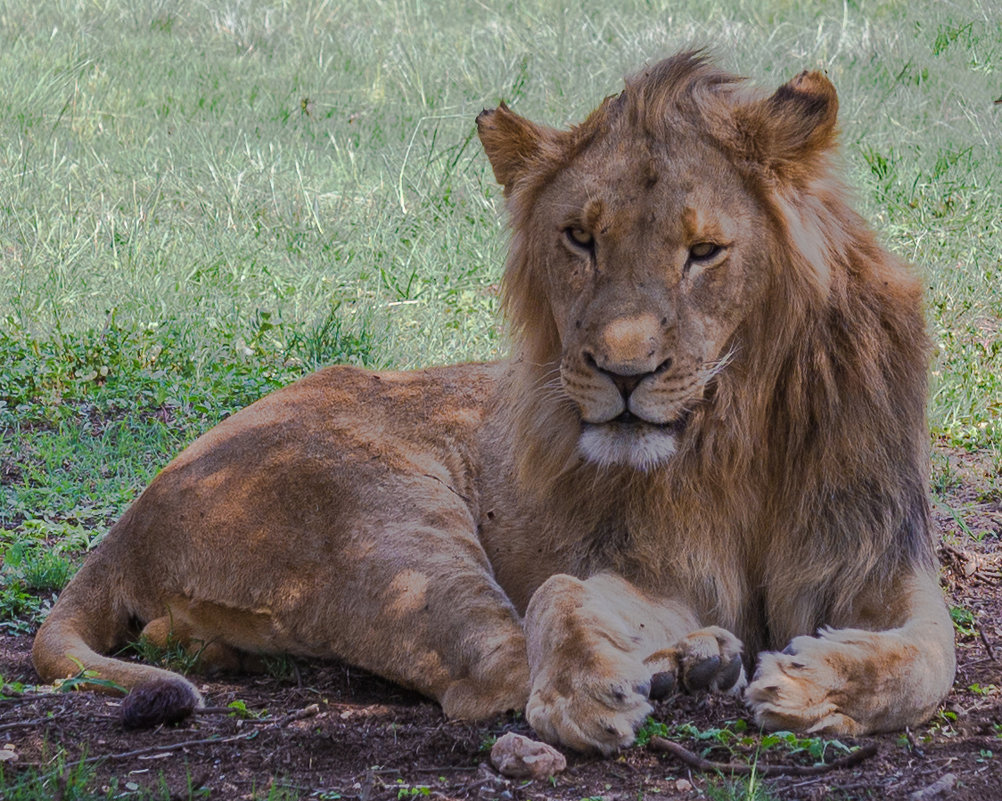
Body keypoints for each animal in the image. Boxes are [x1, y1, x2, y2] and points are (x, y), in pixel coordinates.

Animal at [31, 53, 953, 753]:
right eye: (579, 238)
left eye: (704, 251)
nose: (623, 373)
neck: (735, 430)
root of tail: (129, 522)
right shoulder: (650, 565)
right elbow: (558, 594)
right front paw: (589, 682)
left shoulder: (878, 559)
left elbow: (929, 655)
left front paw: (816, 688)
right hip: (387, 520)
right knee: (491, 672)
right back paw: (673, 665)